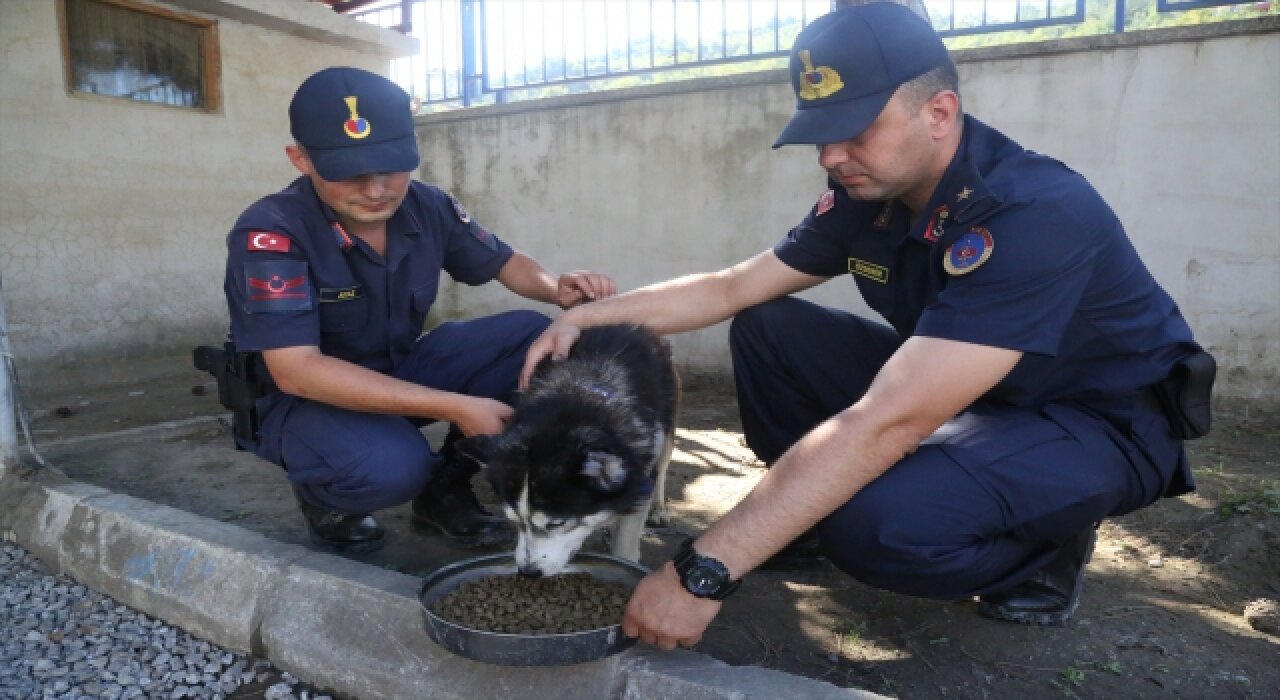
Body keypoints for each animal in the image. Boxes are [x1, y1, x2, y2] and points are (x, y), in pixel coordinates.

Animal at [460, 323, 680, 575]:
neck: (580, 398)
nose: (528, 572)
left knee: (662, 470)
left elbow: (626, 542)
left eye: (557, 523)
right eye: (514, 521)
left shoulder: (641, 475)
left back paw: (659, 510)